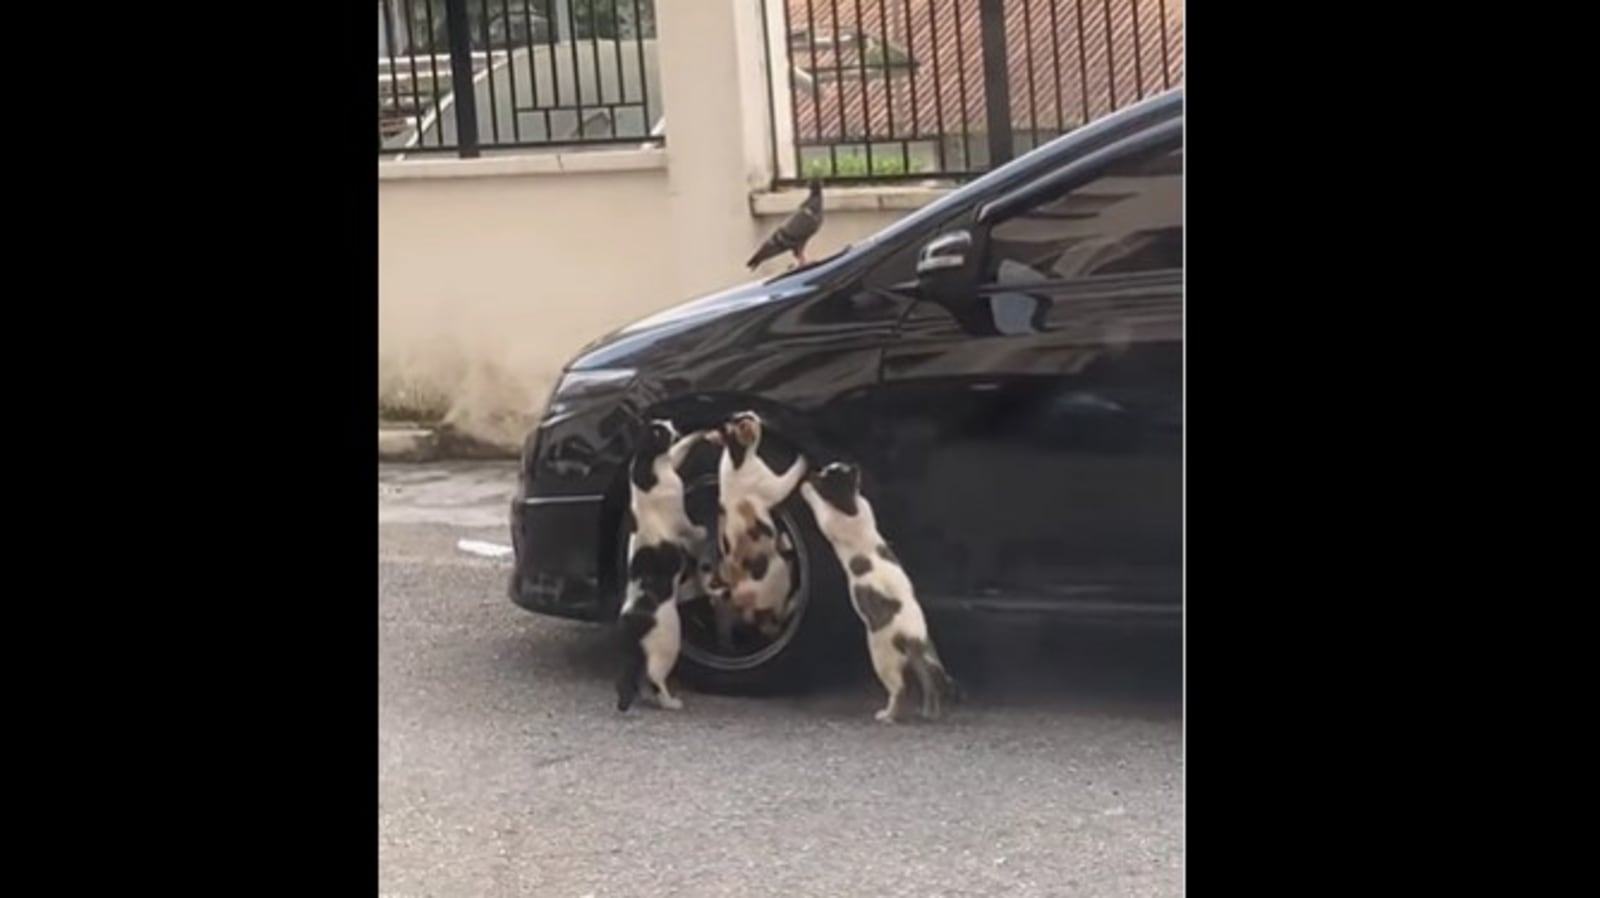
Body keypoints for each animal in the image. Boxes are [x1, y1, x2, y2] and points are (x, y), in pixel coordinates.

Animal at [796, 461, 953, 720]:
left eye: (828, 473)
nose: (815, 471)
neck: (852, 505)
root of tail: (914, 637)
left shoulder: (829, 519)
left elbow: (819, 505)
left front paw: (807, 486)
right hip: (928, 655)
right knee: (931, 681)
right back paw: (930, 711)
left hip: (883, 659)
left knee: (899, 689)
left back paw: (888, 715)